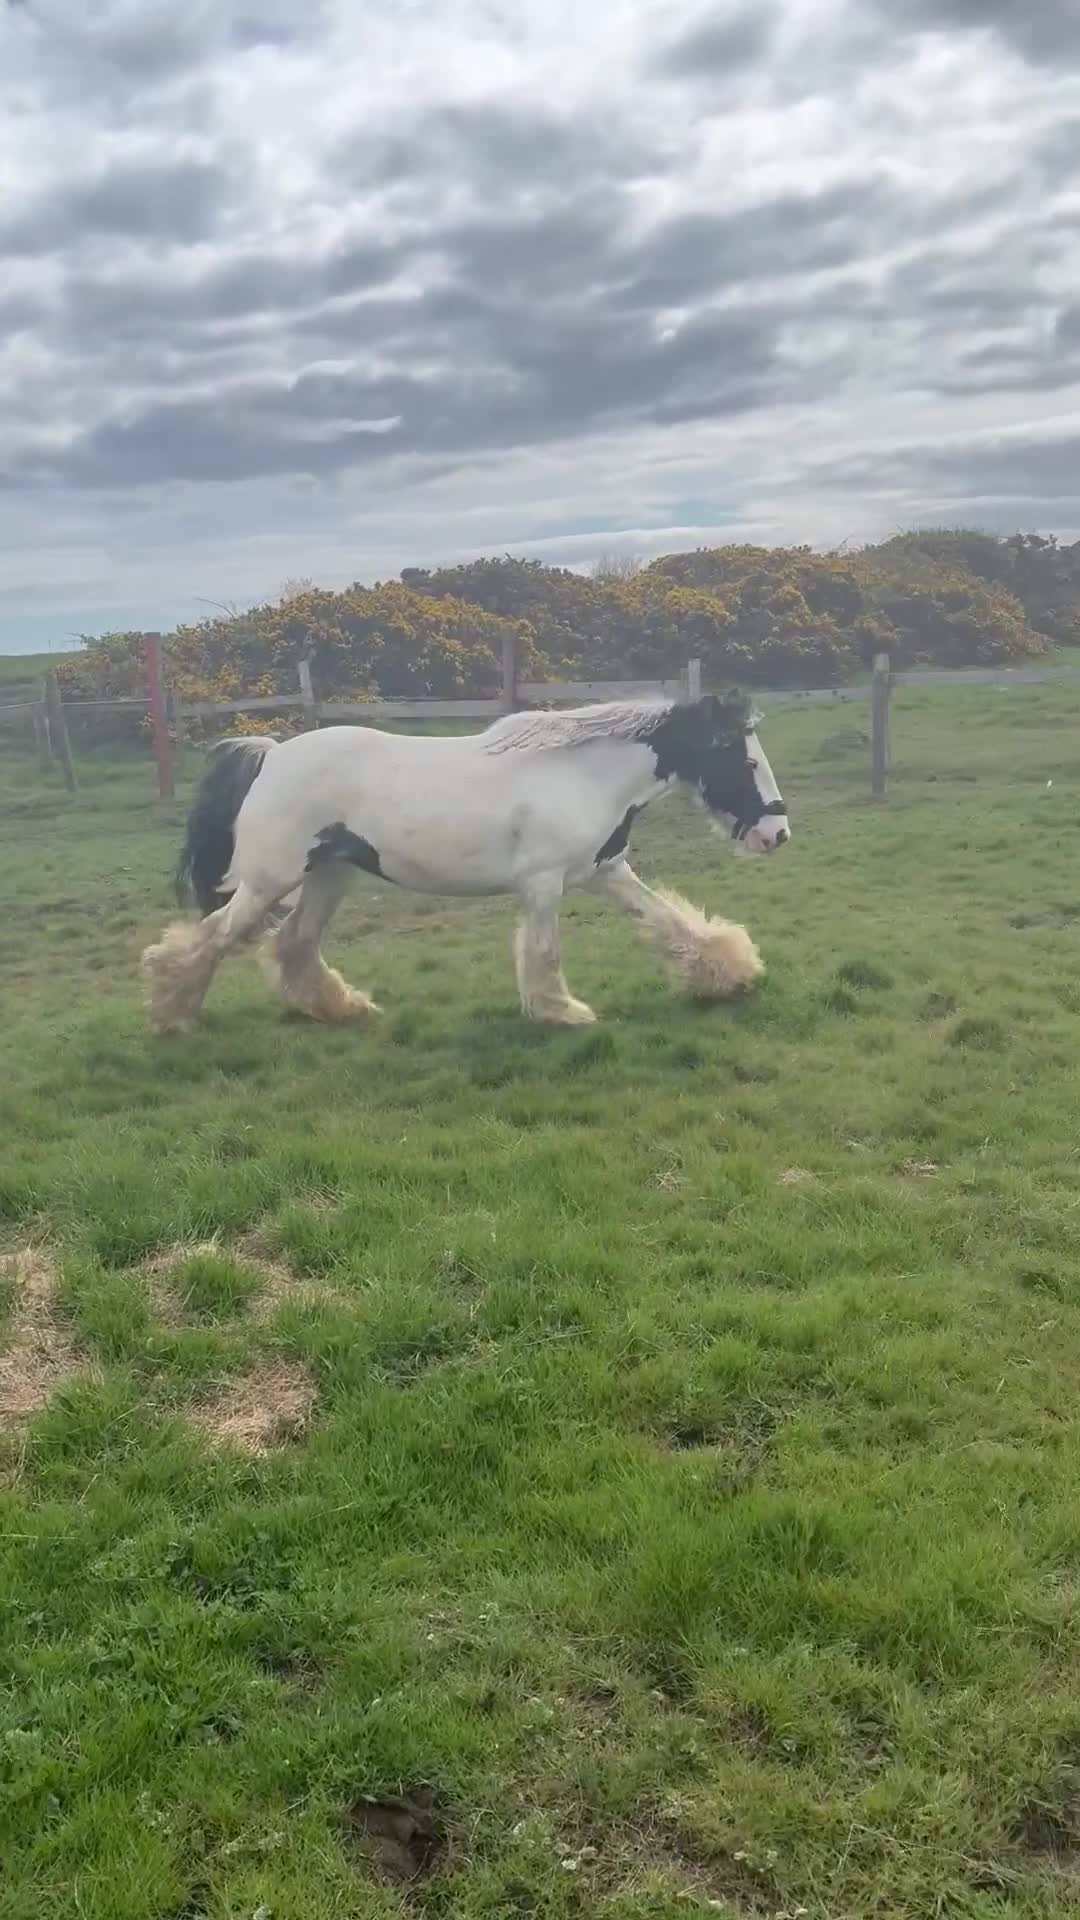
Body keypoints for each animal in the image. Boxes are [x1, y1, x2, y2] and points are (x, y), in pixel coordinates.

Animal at [142, 691, 789, 1033]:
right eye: (744, 759)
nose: (777, 834)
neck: (580, 775)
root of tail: (271, 755)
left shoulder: (605, 872)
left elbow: (669, 923)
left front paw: (731, 973)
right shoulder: (544, 882)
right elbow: (544, 951)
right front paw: (563, 1013)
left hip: (329, 876)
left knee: (293, 943)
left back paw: (341, 1008)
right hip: (268, 881)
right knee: (211, 938)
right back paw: (173, 1013)